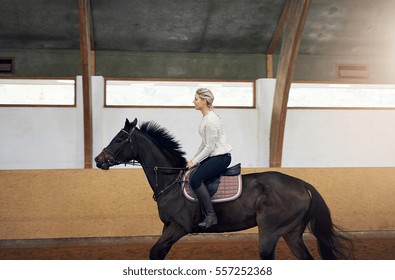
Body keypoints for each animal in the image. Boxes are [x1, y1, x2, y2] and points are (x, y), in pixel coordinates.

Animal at [96, 118, 352, 260]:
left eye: (119, 139)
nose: (99, 160)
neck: (171, 182)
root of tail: (301, 183)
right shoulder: (167, 227)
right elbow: (158, 254)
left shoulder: (179, 227)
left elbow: (154, 252)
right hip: (291, 233)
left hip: (270, 232)